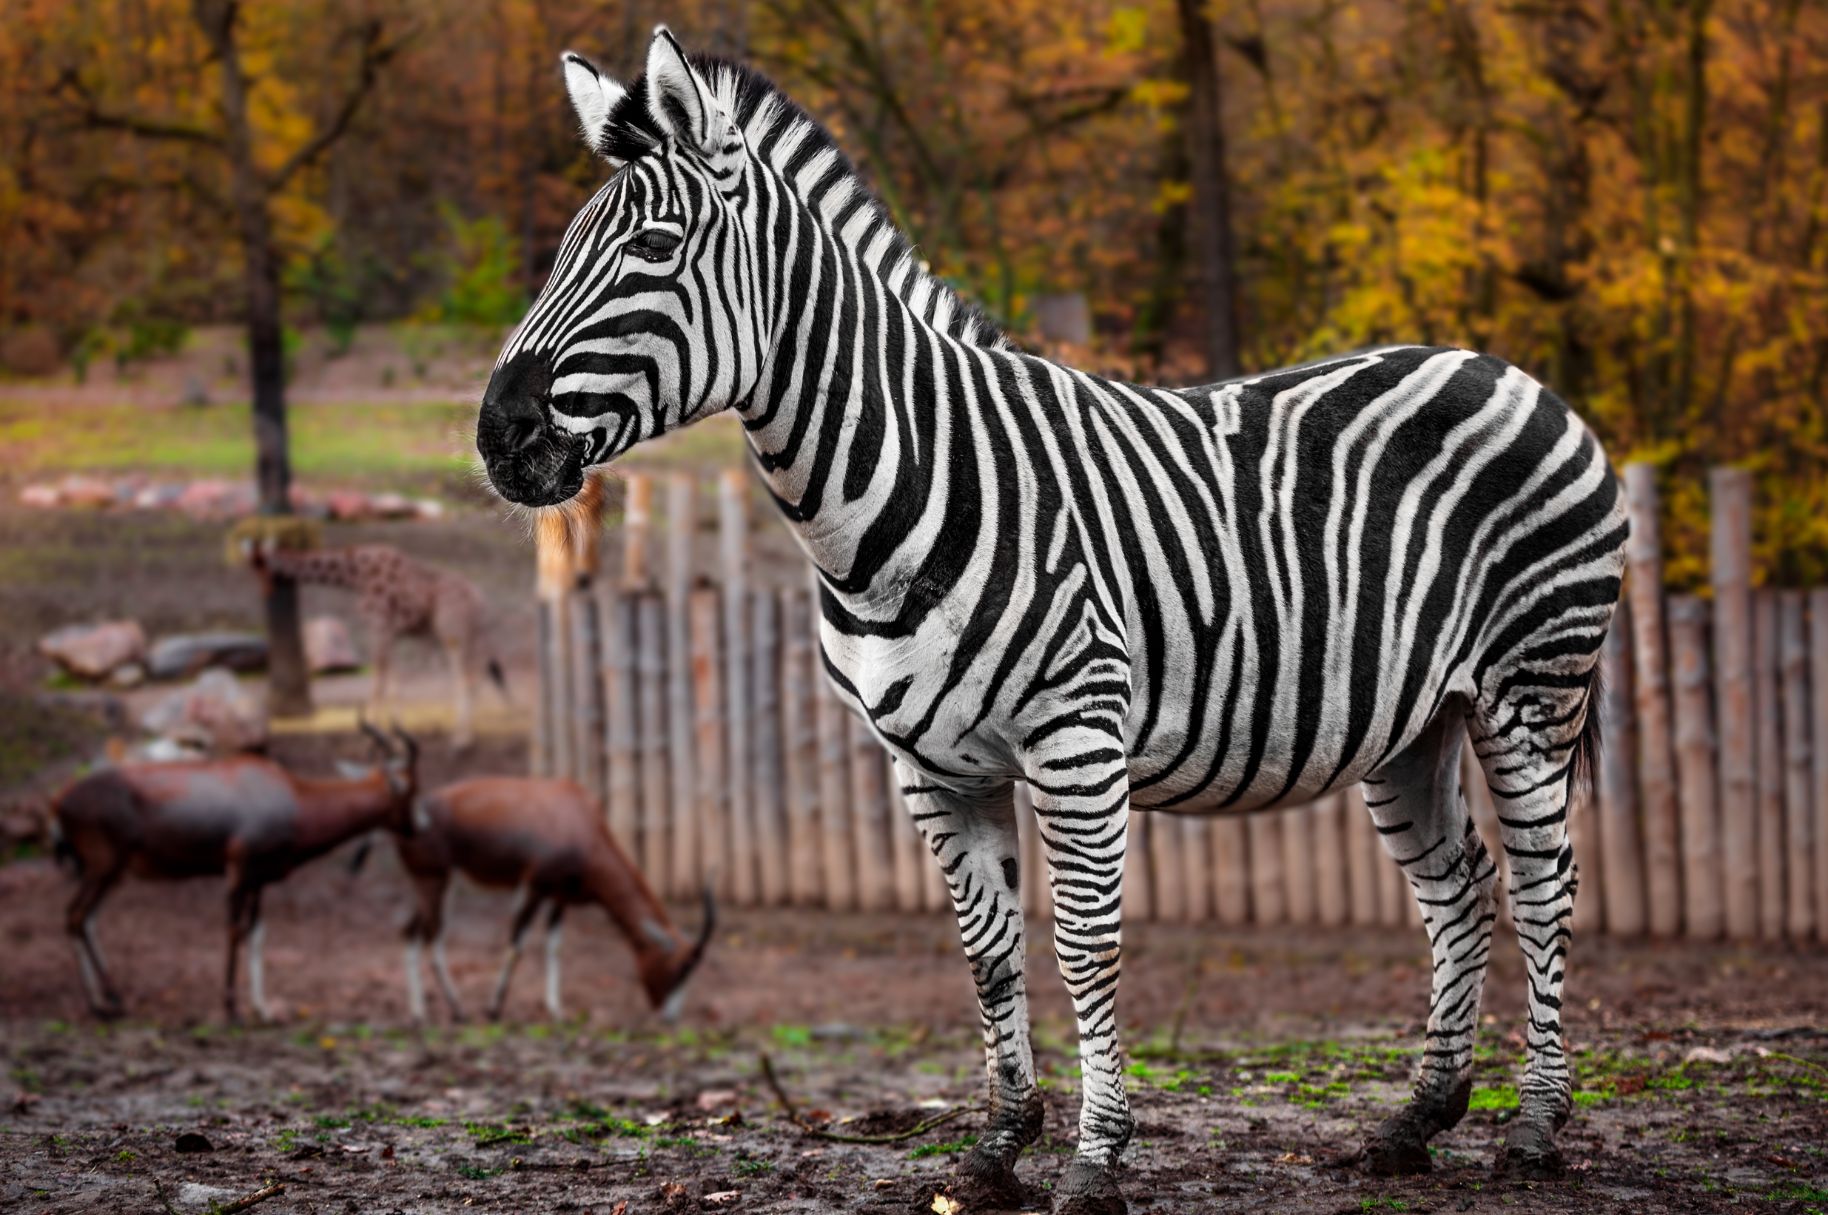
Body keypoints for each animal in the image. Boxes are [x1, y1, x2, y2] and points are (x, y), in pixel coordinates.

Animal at [474, 28, 1628, 1214]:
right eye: (562, 251)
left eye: (654, 248)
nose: (498, 435)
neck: (895, 499)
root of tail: (1505, 368)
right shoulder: (926, 762)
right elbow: (989, 952)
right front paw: (995, 1149)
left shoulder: (1074, 741)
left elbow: (1084, 946)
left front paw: (1094, 1161)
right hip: (1411, 722)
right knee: (1459, 889)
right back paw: (1415, 1121)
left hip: (1531, 686)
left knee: (1543, 885)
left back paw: (1535, 1129)